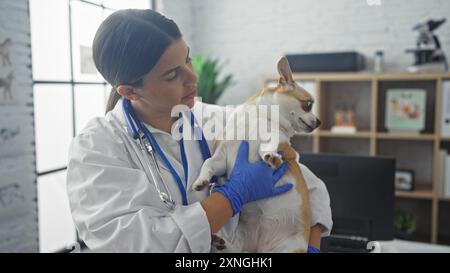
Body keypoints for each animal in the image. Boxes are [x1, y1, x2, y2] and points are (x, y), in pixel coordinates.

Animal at [192, 56, 322, 252]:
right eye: (308, 104)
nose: (319, 122)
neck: (260, 117)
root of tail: (260, 248)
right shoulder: (221, 158)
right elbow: (208, 162)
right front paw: (201, 181)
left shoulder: (282, 144)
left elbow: (269, 144)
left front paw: (271, 156)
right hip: (242, 236)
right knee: (236, 249)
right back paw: (220, 242)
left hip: (289, 247)